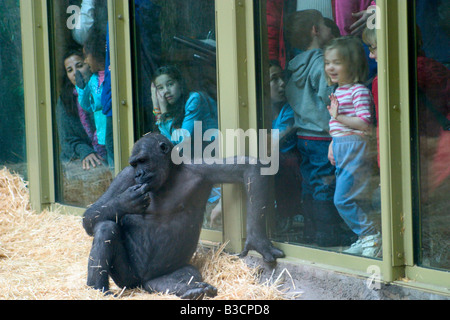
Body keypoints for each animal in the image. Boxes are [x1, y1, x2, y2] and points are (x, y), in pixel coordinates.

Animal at [82, 132, 284, 298]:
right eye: (134, 164)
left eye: (143, 160)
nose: (139, 174)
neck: (169, 177)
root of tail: (141, 283)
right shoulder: (125, 175)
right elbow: (92, 214)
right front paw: (125, 201)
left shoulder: (202, 169)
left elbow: (248, 168)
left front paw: (258, 240)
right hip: (127, 279)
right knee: (106, 227)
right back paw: (97, 290)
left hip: (157, 277)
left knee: (183, 275)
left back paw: (187, 289)